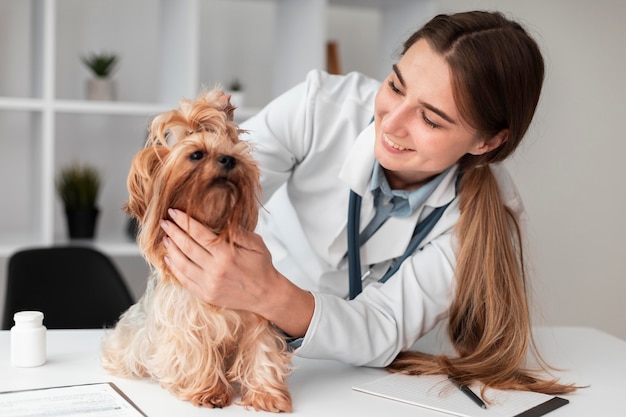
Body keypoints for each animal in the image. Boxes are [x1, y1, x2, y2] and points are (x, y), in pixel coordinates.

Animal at [100, 89, 292, 412]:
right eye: (196, 155)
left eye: (233, 150)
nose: (229, 159)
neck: (212, 222)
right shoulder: (185, 319)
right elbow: (195, 349)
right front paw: (209, 392)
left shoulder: (257, 305)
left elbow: (262, 349)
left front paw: (267, 394)